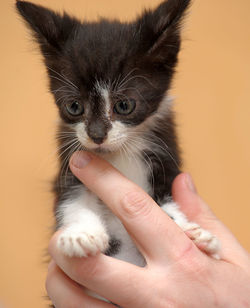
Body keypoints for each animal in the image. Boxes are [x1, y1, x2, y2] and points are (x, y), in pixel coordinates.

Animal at [16, 0, 219, 272]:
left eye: (124, 105)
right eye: (74, 106)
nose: (96, 135)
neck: (118, 153)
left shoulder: (165, 158)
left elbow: (168, 201)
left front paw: (193, 233)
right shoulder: (70, 162)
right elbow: (72, 198)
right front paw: (80, 234)